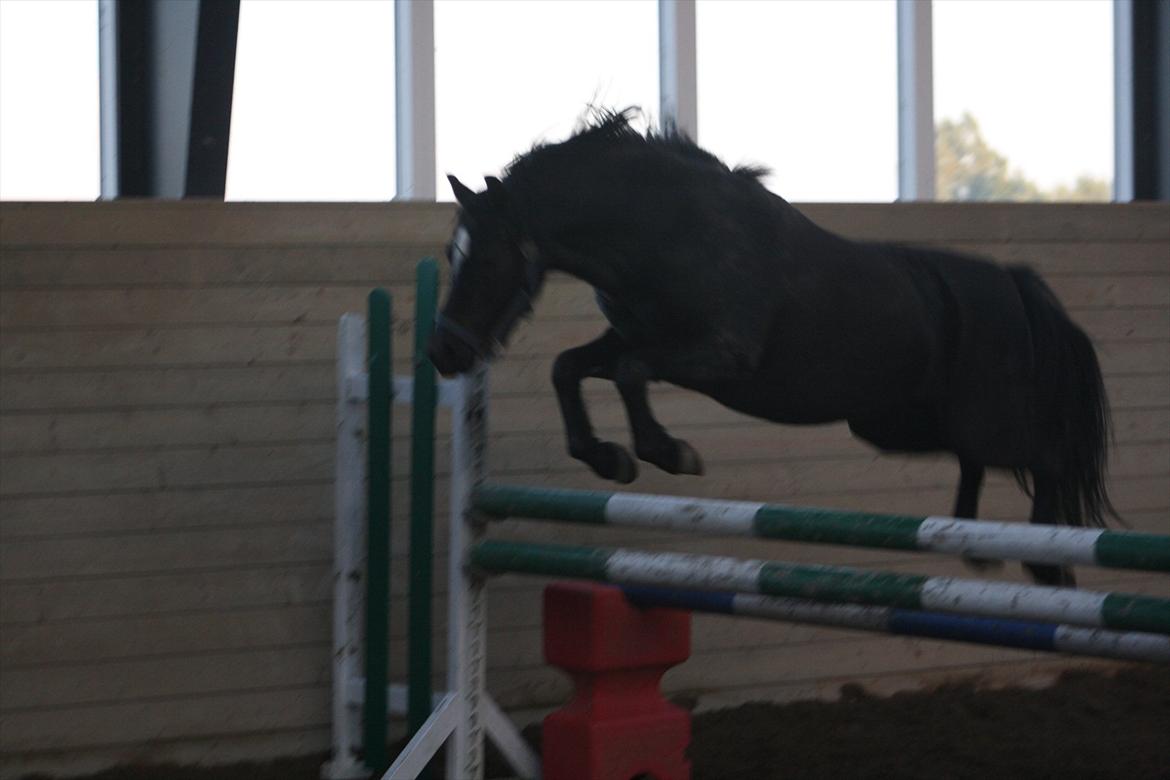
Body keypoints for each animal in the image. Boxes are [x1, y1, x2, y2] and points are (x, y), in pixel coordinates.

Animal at [428, 110, 1116, 586]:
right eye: (451, 254)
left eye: (488, 260)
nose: (445, 355)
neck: (665, 231)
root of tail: (1015, 287)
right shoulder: (634, 334)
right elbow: (569, 367)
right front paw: (608, 459)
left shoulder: (719, 355)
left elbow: (628, 373)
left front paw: (669, 453)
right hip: (899, 423)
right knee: (976, 461)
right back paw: (973, 542)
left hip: (981, 421)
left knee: (1048, 457)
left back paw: (1047, 564)